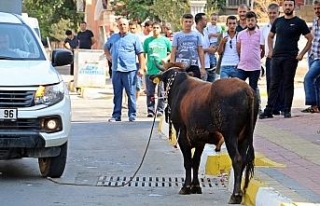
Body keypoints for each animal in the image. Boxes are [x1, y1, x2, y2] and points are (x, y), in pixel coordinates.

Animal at [151, 63, 258, 204]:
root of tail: (247, 89)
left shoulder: (182, 134)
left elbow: (188, 162)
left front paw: (186, 187)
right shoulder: (200, 139)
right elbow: (196, 162)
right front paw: (196, 186)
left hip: (230, 136)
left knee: (237, 160)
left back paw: (235, 195)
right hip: (244, 137)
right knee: (244, 161)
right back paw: (240, 193)